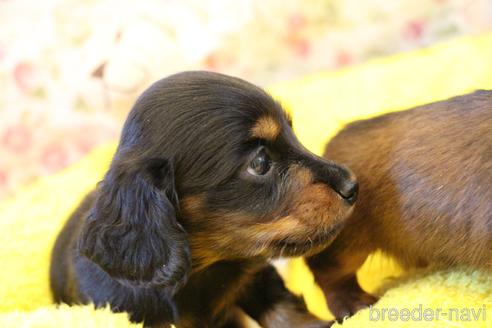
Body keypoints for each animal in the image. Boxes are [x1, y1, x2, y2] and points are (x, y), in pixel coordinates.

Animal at [50, 70, 358, 326]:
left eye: (293, 135)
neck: (204, 271)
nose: (353, 185)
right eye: (259, 162)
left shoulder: (255, 276)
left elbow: (284, 310)